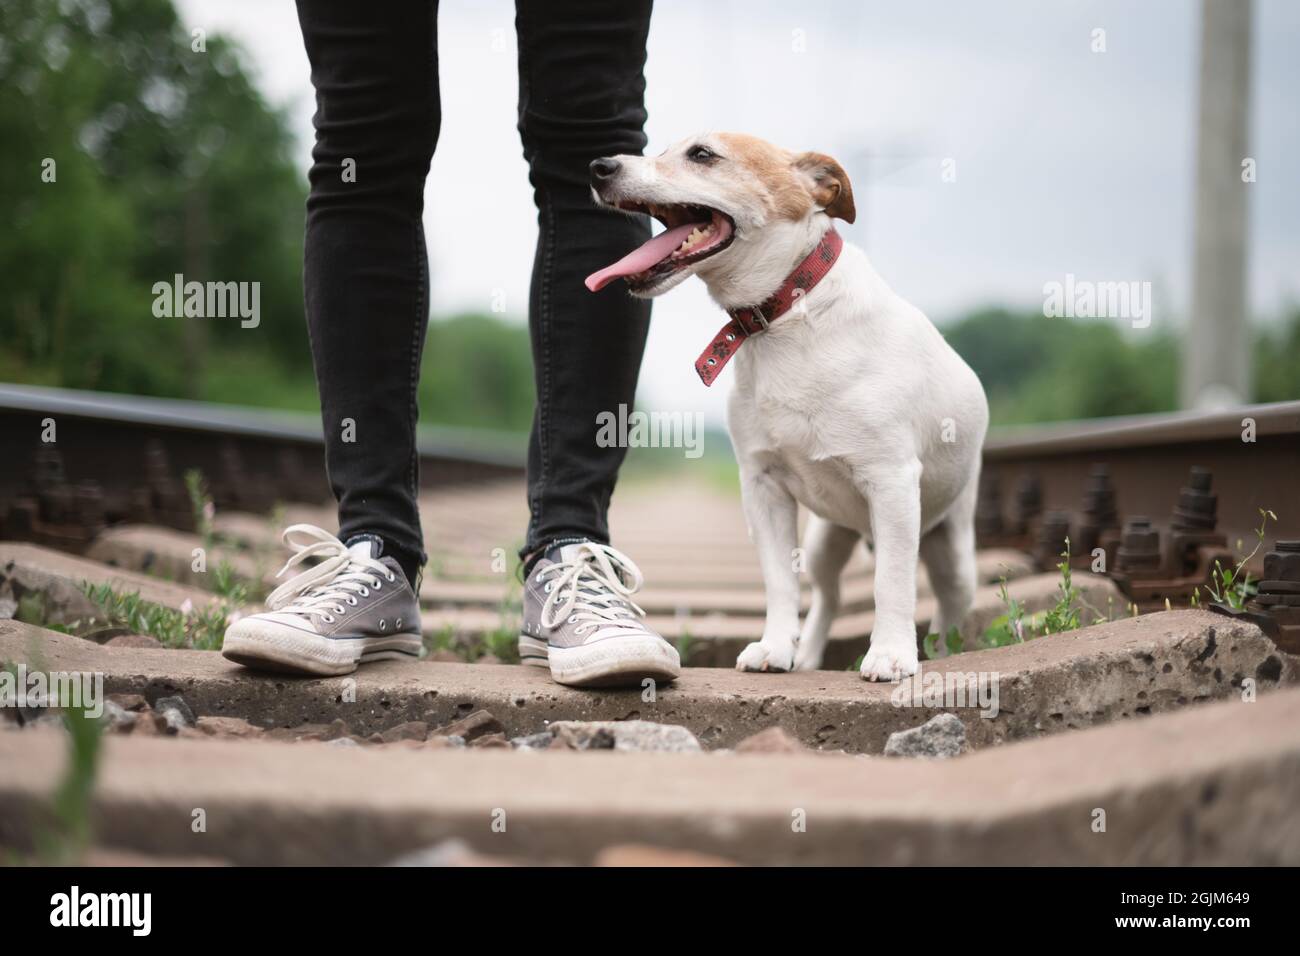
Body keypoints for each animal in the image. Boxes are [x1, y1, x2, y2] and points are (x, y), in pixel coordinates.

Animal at [585, 132, 987, 681]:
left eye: (702, 154)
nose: (599, 166)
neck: (786, 315)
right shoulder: (763, 486)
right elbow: (779, 582)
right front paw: (775, 648)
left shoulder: (892, 483)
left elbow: (892, 583)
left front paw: (891, 654)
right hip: (825, 541)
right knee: (829, 596)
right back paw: (809, 655)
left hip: (951, 552)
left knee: (947, 609)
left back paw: (939, 653)